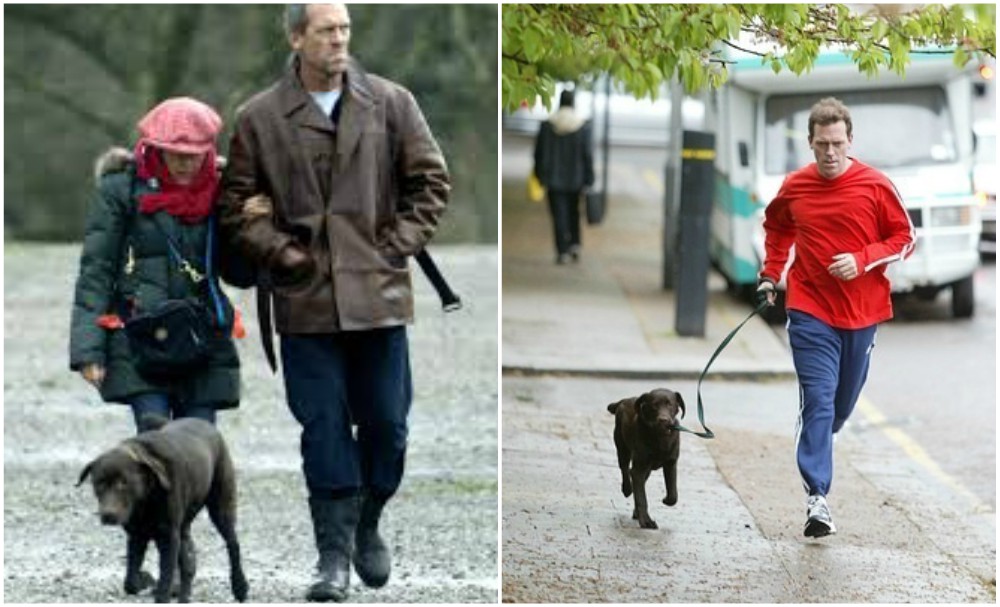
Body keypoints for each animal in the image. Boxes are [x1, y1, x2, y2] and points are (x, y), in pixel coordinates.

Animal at [77, 418, 248, 604]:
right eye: (99, 484)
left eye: (123, 483)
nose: (108, 515)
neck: (146, 498)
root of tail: (205, 423)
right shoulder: (137, 535)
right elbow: (130, 582)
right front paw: (144, 580)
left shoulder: (168, 535)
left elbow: (165, 577)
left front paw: (159, 590)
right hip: (183, 527)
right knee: (188, 563)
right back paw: (184, 595)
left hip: (221, 508)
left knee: (233, 544)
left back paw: (240, 586)